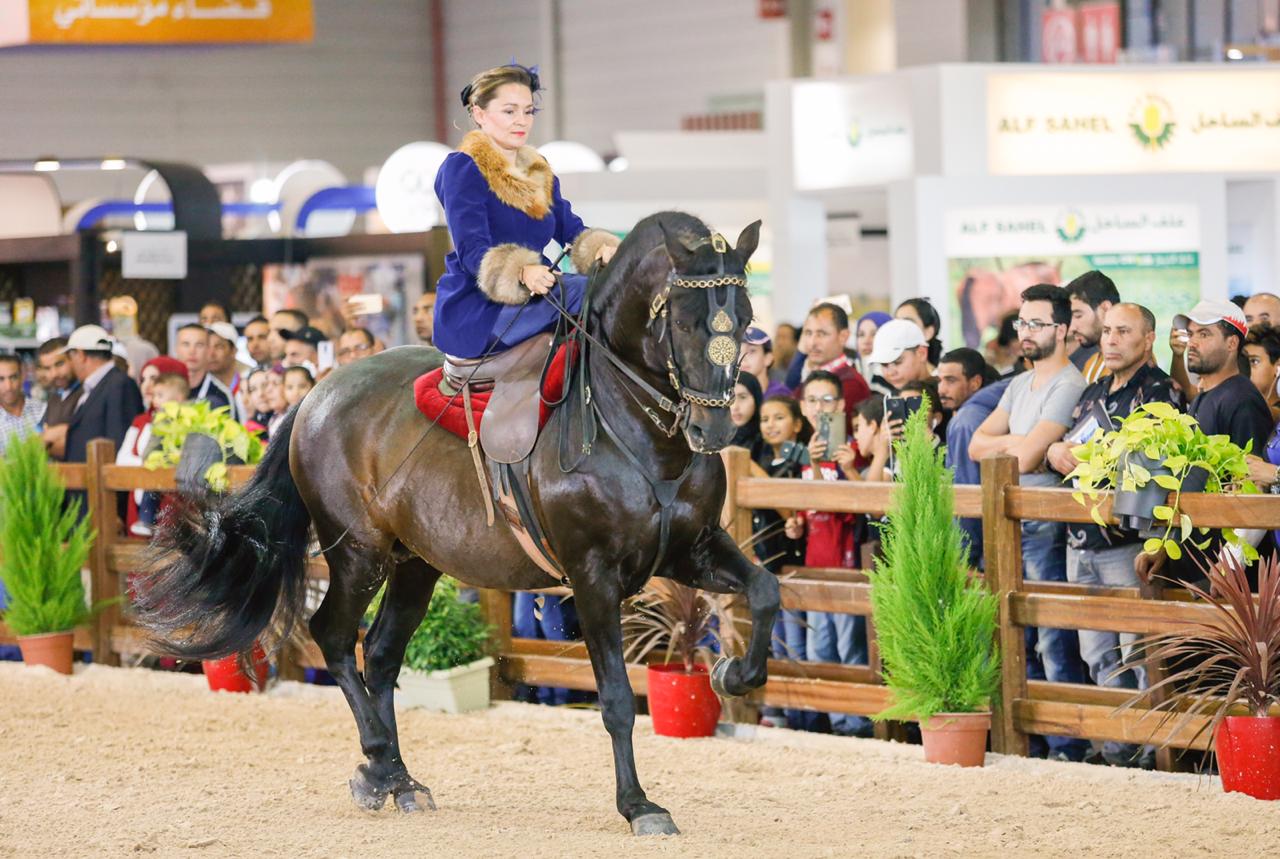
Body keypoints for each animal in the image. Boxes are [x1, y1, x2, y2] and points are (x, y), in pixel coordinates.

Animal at [140, 211, 778, 834]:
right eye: (685, 321)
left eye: (746, 321)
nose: (714, 431)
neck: (639, 433)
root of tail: (318, 394)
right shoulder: (594, 576)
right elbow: (618, 698)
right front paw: (639, 805)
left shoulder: (692, 549)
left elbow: (765, 590)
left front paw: (732, 675)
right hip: (359, 554)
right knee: (336, 638)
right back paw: (379, 762)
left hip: (416, 563)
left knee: (381, 654)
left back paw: (398, 780)